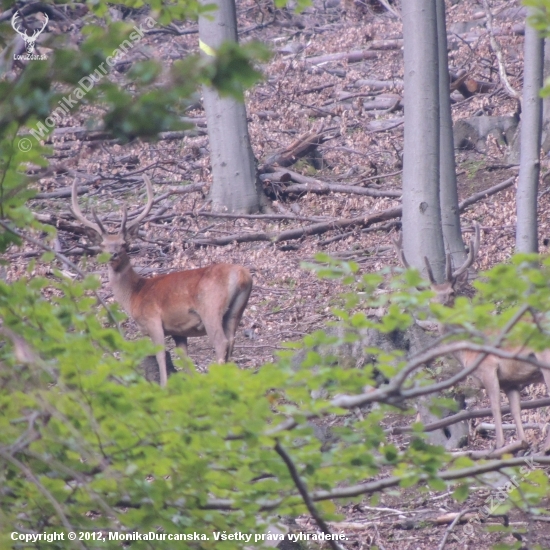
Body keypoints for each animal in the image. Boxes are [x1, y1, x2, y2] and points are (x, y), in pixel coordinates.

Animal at [71, 177, 254, 388]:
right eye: (103, 245)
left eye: (124, 244)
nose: (113, 254)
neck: (134, 295)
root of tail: (242, 275)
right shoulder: (178, 330)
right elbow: (185, 359)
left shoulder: (152, 319)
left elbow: (160, 356)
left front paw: (164, 387)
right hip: (236, 310)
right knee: (231, 340)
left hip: (210, 307)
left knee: (221, 342)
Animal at [394, 224, 550, 452]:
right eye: (431, 295)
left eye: (451, 292)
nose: (440, 306)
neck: (466, 352)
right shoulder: (510, 382)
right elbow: (517, 418)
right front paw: (519, 445)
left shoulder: (488, 368)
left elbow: (495, 409)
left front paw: (499, 446)